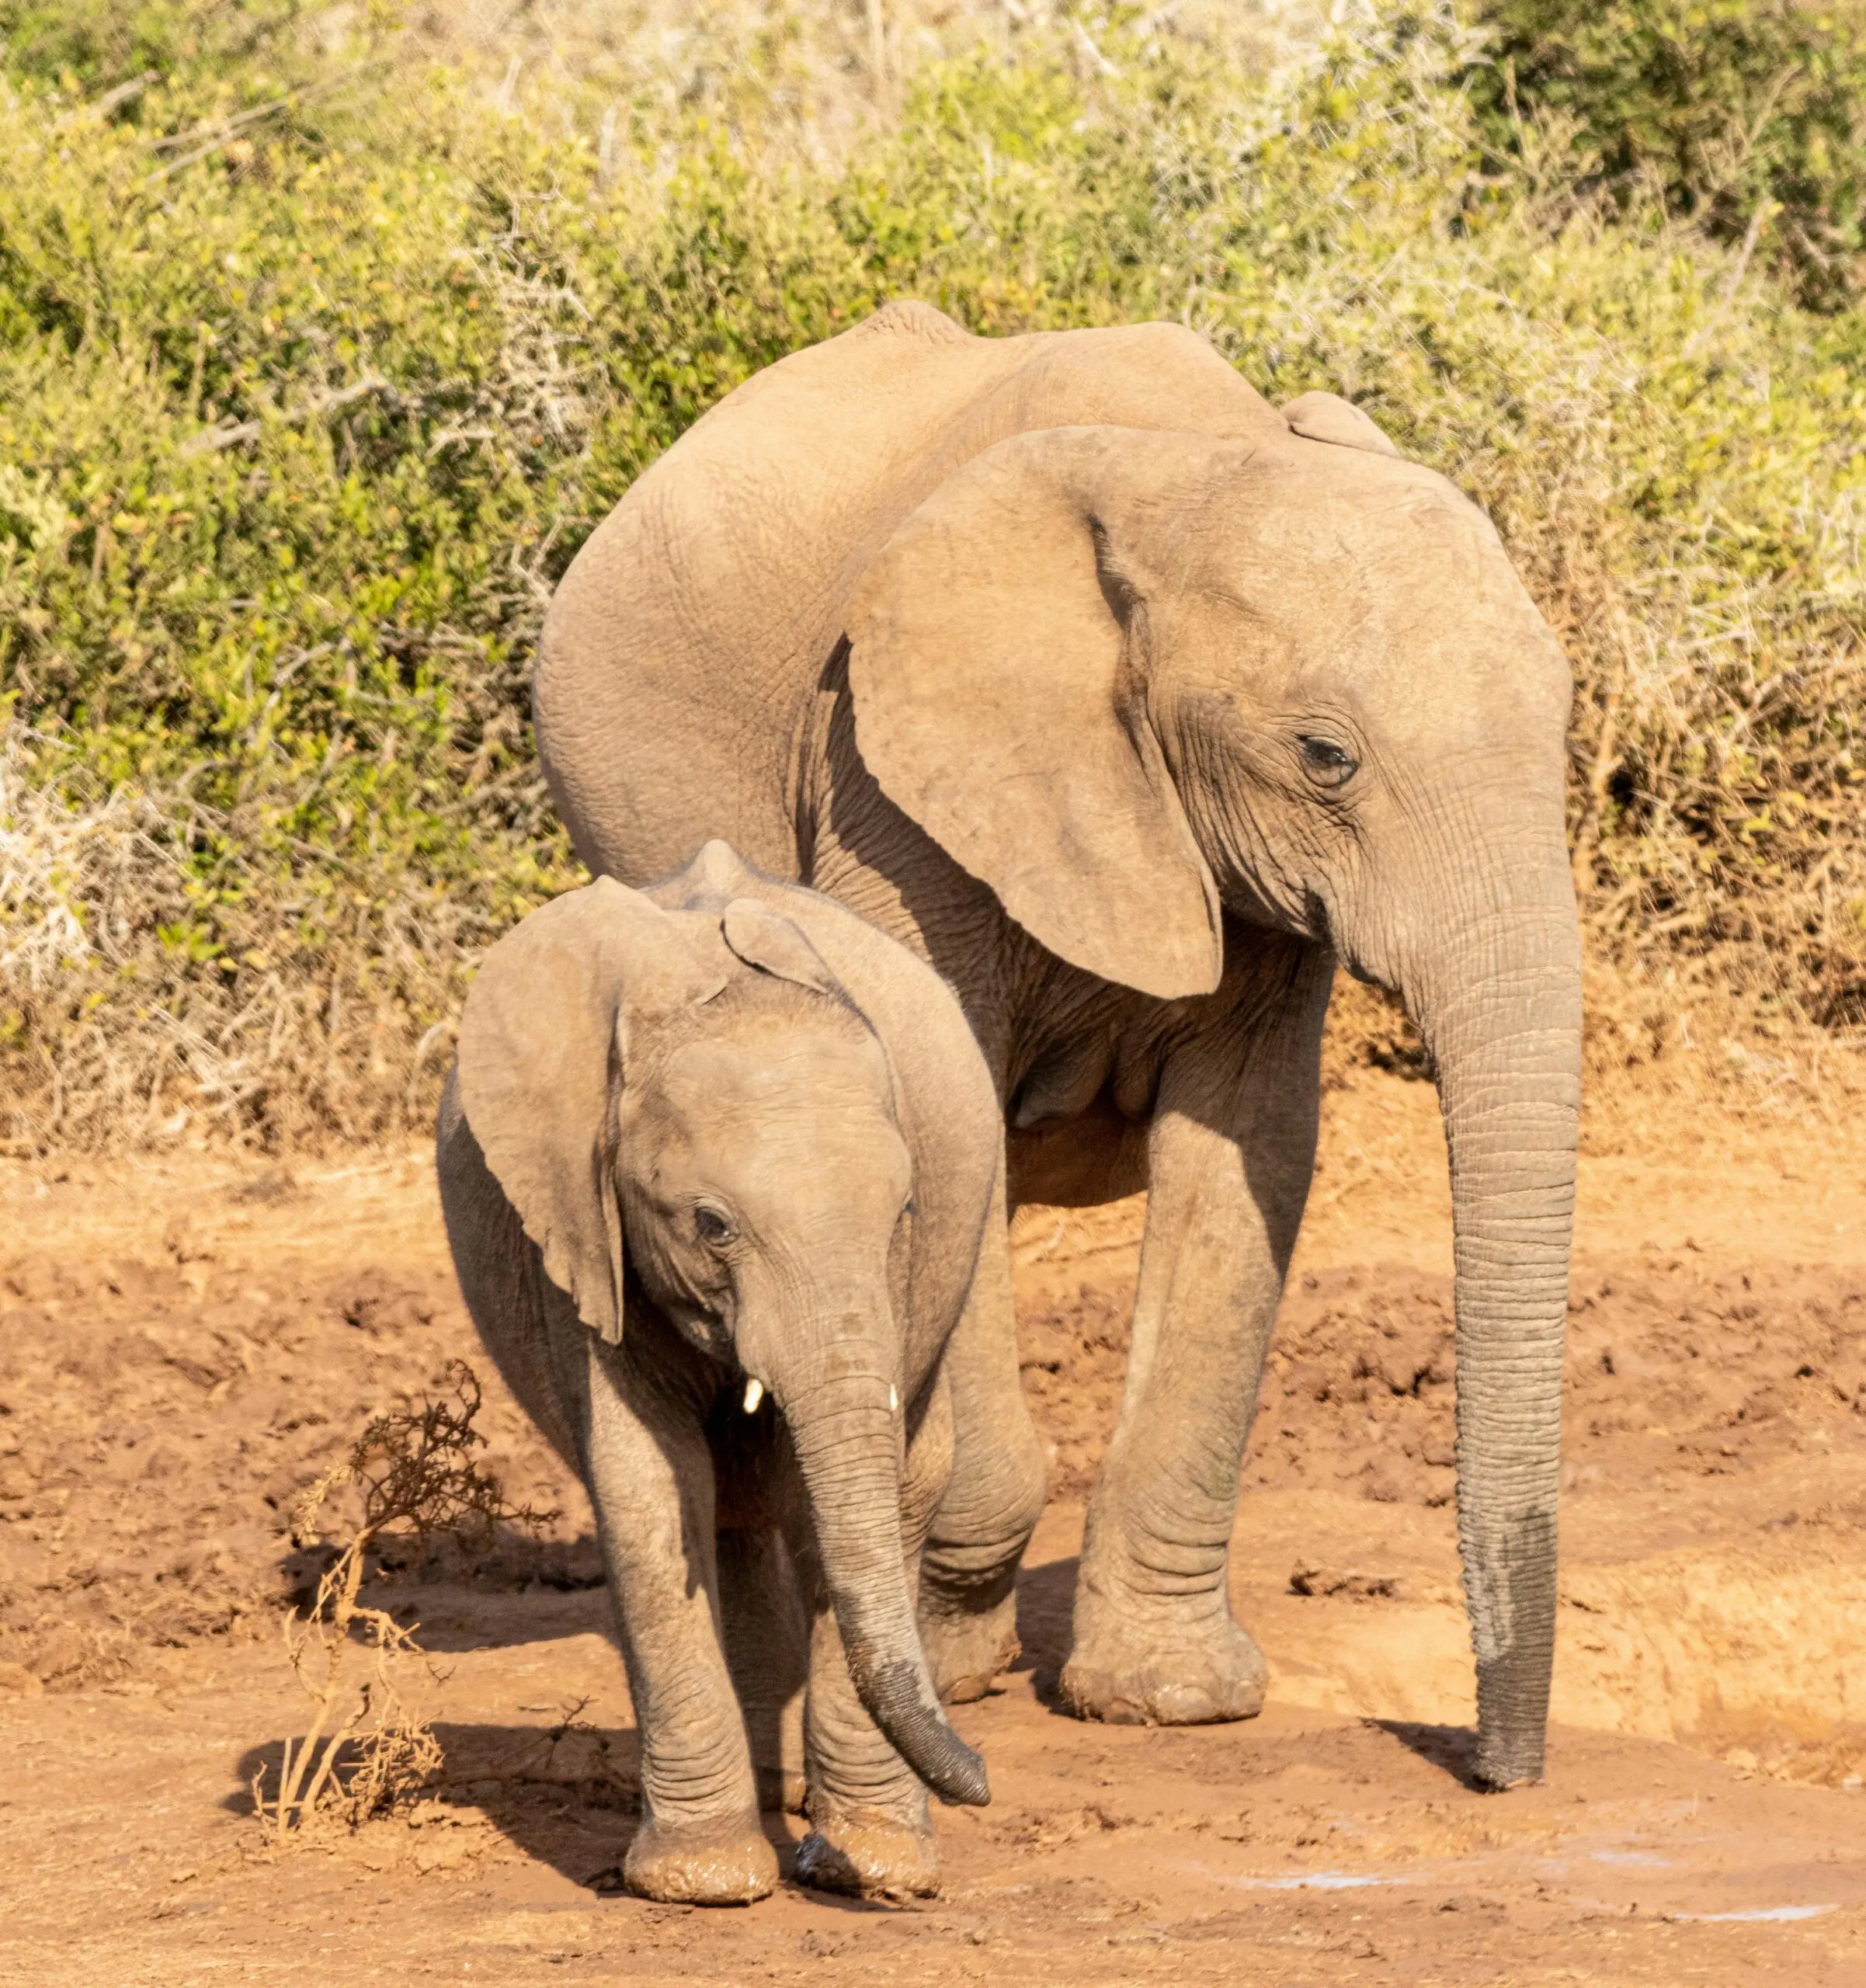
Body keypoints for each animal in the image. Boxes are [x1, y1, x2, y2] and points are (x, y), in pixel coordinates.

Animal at [435, 838, 1015, 1903]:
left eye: (906, 1212)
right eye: (711, 1225)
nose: (983, 1779)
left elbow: (892, 1483)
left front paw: (874, 1869)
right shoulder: (581, 1229)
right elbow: (649, 1485)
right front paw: (703, 1884)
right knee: (727, 1512)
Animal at [531, 301, 1582, 1791]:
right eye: (1323, 757)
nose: (1495, 1771)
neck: (1191, 471)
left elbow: (1248, 1153)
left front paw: (1165, 1701)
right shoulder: (883, 774)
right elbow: (942, 1108)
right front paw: (950, 1660)